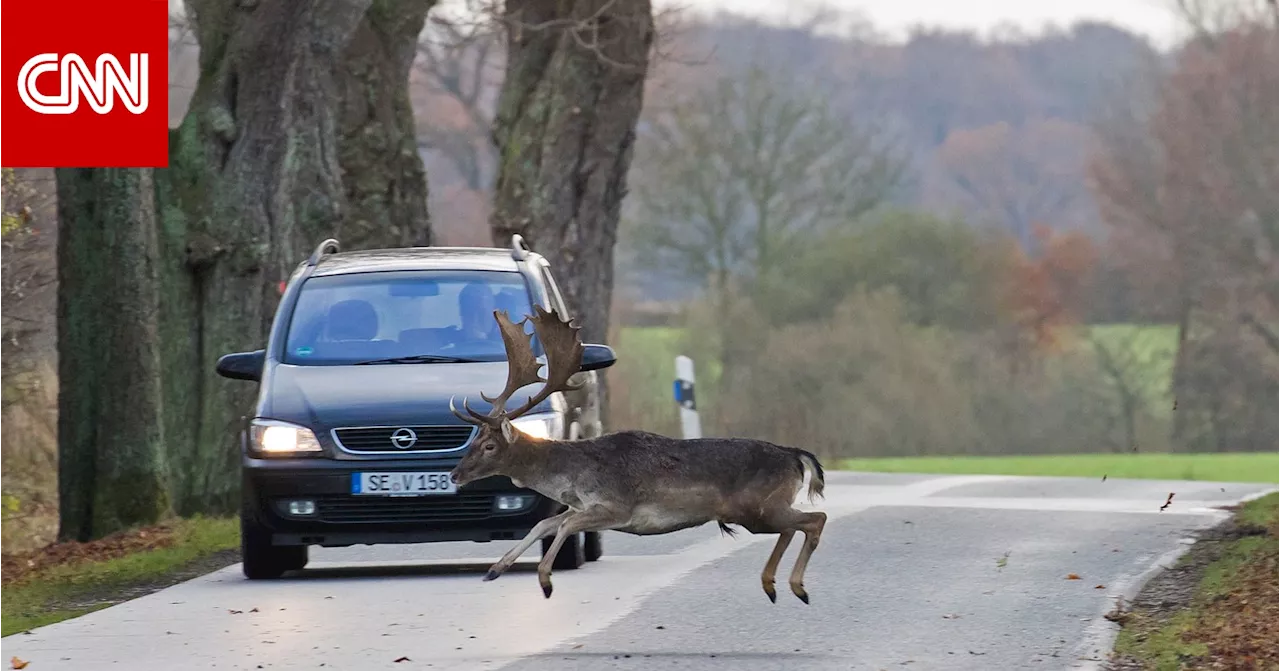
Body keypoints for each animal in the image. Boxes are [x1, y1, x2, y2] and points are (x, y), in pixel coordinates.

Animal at [448, 303, 829, 601]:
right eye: (475, 439)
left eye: (489, 445)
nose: (454, 474)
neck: (571, 476)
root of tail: (796, 456)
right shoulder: (583, 506)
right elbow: (546, 522)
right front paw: (495, 569)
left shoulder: (617, 506)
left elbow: (565, 524)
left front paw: (545, 579)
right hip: (758, 513)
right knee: (794, 527)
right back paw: (772, 585)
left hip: (758, 507)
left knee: (815, 519)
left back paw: (796, 586)